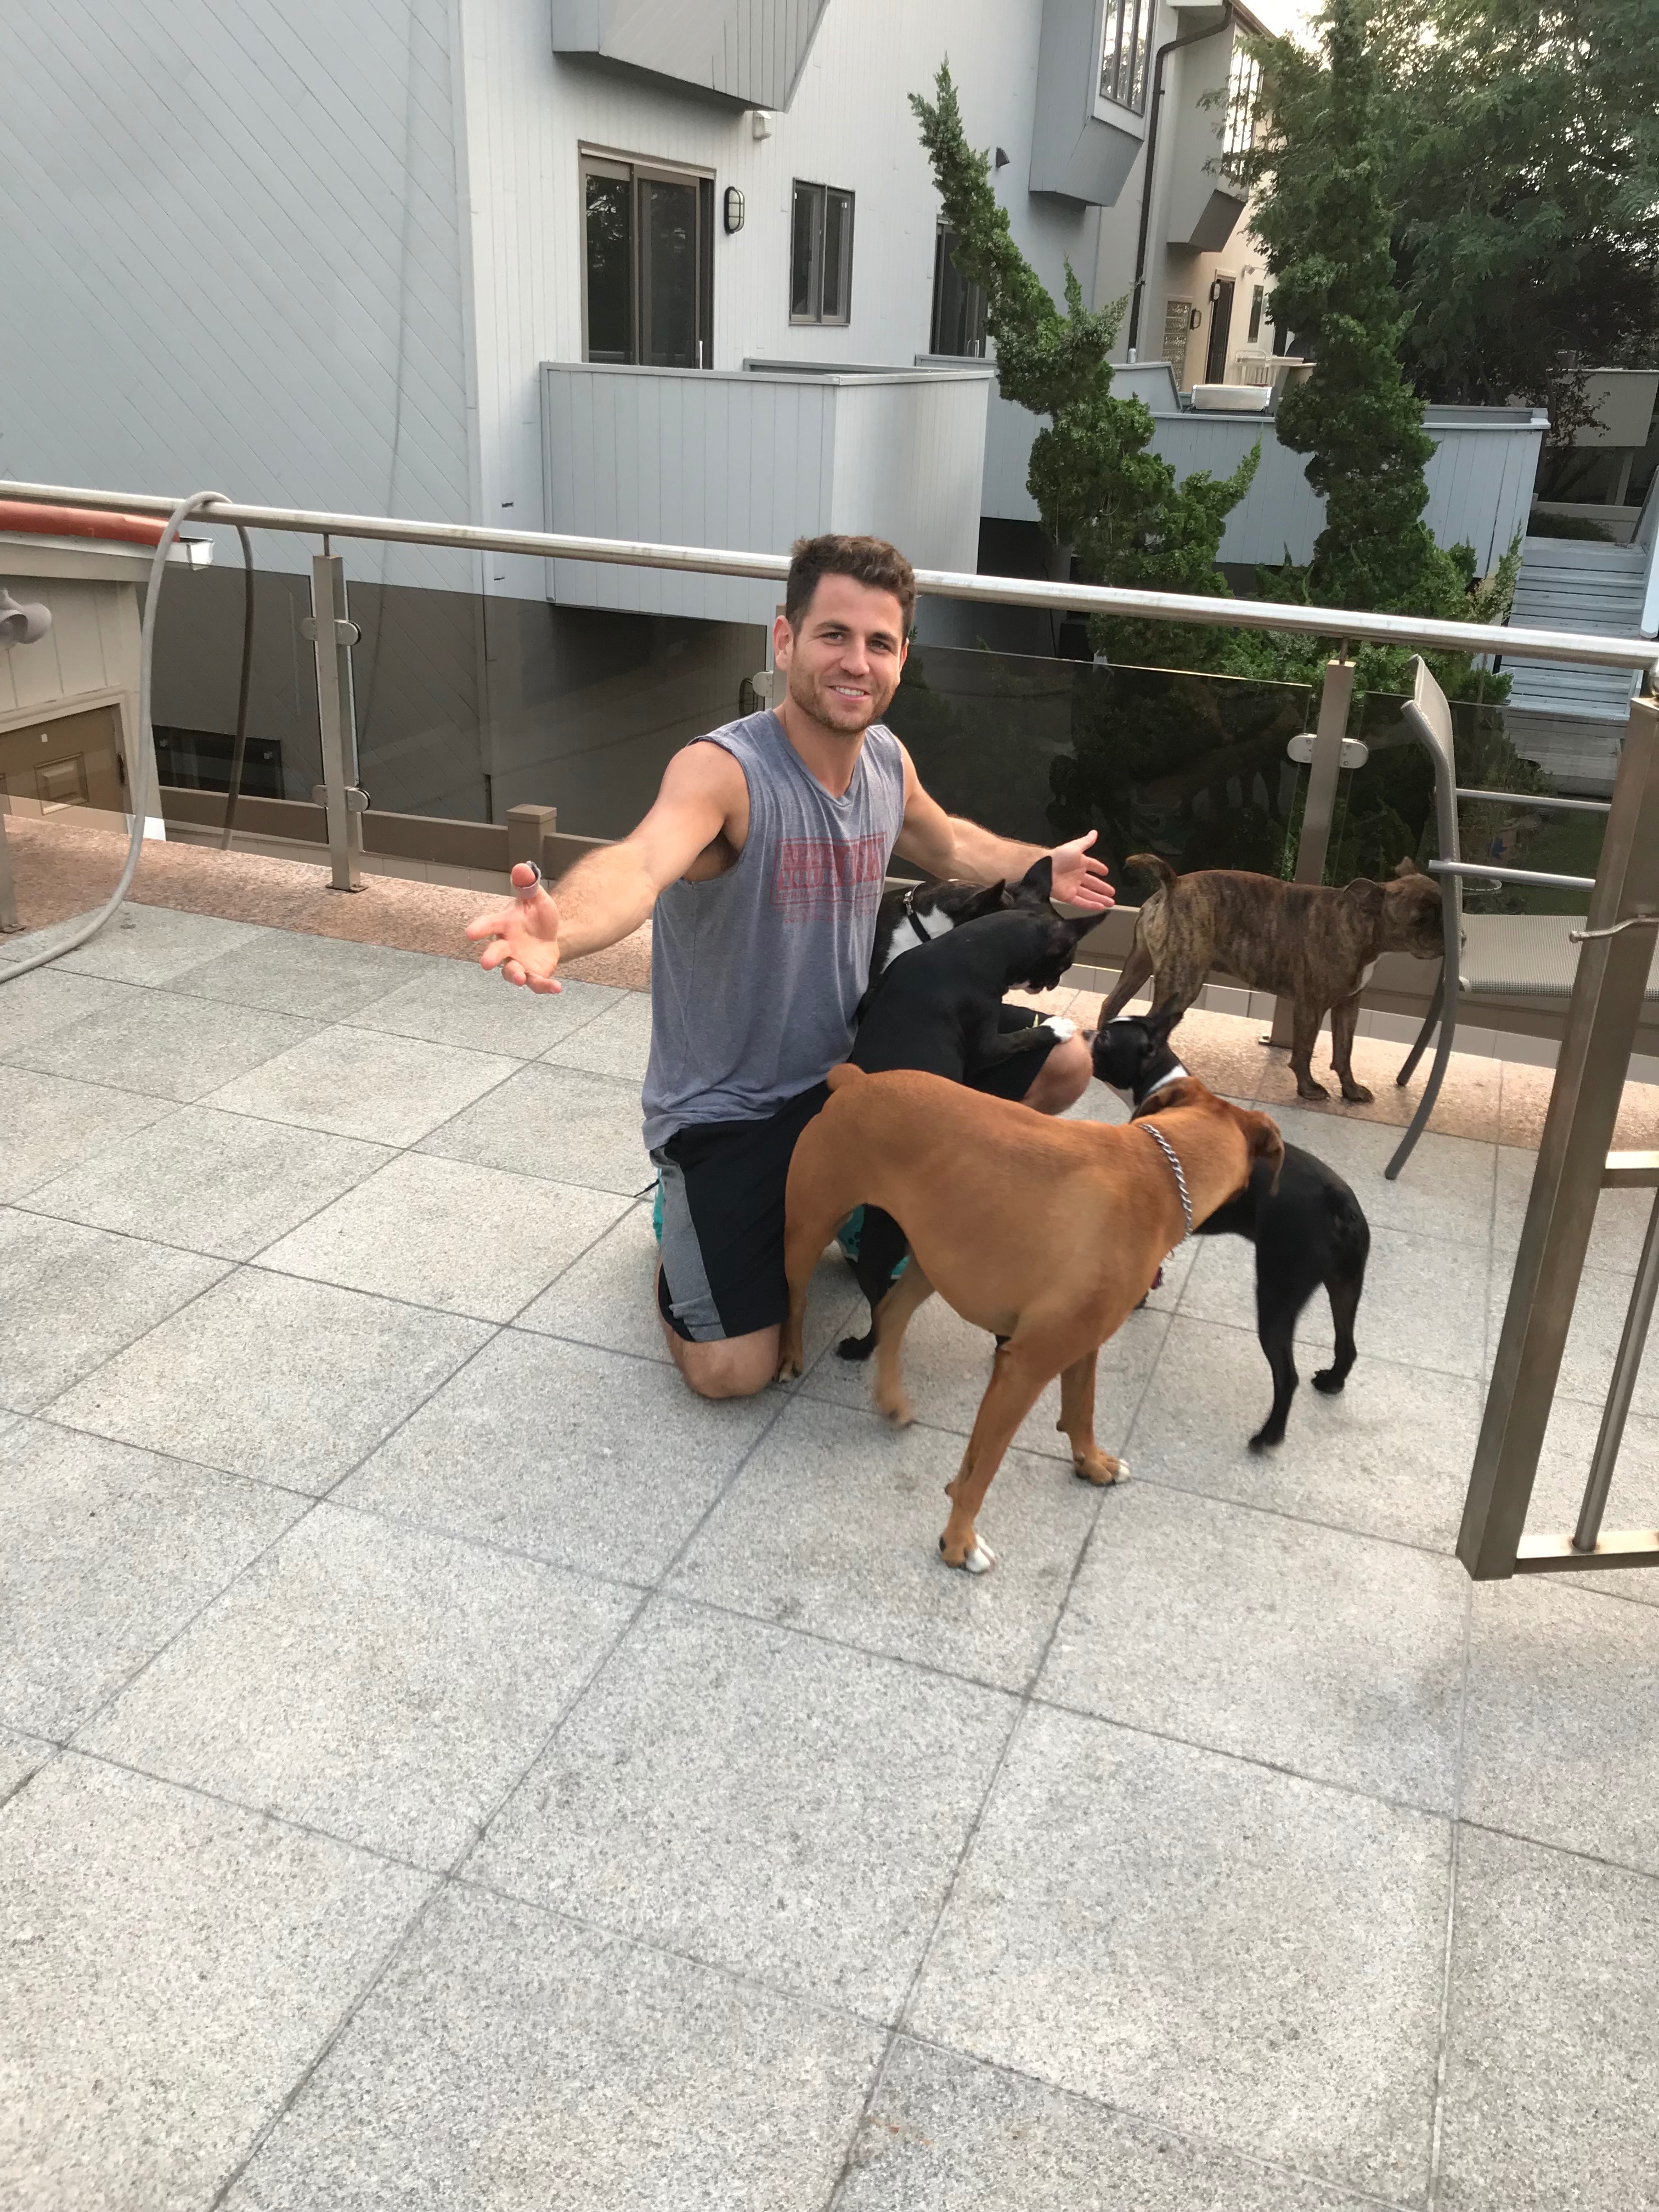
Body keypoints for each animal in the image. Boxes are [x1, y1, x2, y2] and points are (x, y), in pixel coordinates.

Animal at [777, 1063, 1283, 1573]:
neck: (1160, 1171)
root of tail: (857, 1078)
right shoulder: (1024, 1369)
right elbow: (982, 1470)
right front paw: (959, 1543)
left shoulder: (1081, 1346)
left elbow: (1080, 1411)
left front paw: (1091, 1463)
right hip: (810, 1228)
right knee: (795, 1300)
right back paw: (789, 1357)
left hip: (935, 1258)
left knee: (890, 1312)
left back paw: (892, 1399)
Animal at [1091, 1009, 1370, 1448]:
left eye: (1105, 1038)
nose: (1086, 1031)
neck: (1163, 1084)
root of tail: (1338, 1201)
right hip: (1345, 1282)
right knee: (1347, 1343)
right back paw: (1332, 1382)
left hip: (1277, 1292)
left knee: (1286, 1376)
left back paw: (1269, 1437)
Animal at [1100, 854, 1443, 1103]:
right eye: (1421, 919)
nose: (1452, 933)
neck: (1359, 922)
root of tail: (1173, 884)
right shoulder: (1311, 1006)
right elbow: (1304, 1050)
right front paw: (1308, 1089)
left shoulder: (1348, 1007)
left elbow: (1344, 1052)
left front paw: (1351, 1091)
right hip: (1182, 983)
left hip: (1139, 967)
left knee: (1111, 1005)